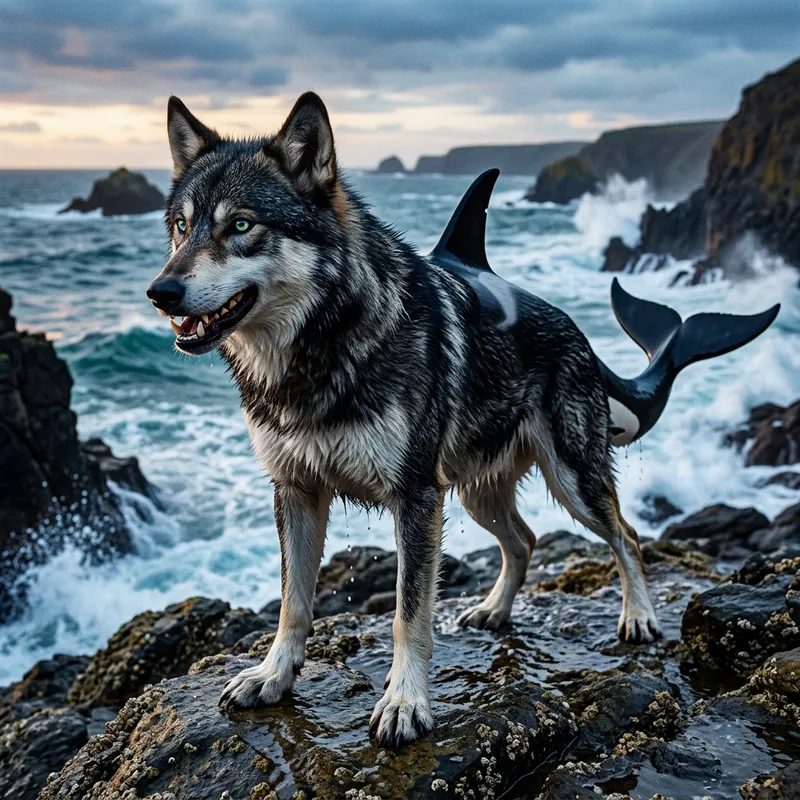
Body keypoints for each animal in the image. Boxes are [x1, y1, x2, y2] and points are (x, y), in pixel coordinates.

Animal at [146, 92, 779, 747]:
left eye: (242, 226)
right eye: (181, 226)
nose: (160, 292)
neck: (322, 345)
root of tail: (577, 333)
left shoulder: (416, 498)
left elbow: (408, 613)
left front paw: (405, 702)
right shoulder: (296, 491)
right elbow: (293, 602)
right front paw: (273, 676)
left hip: (571, 479)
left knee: (625, 535)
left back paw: (639, 616)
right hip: (475, 491)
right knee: (524, 541)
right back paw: (496, 610)